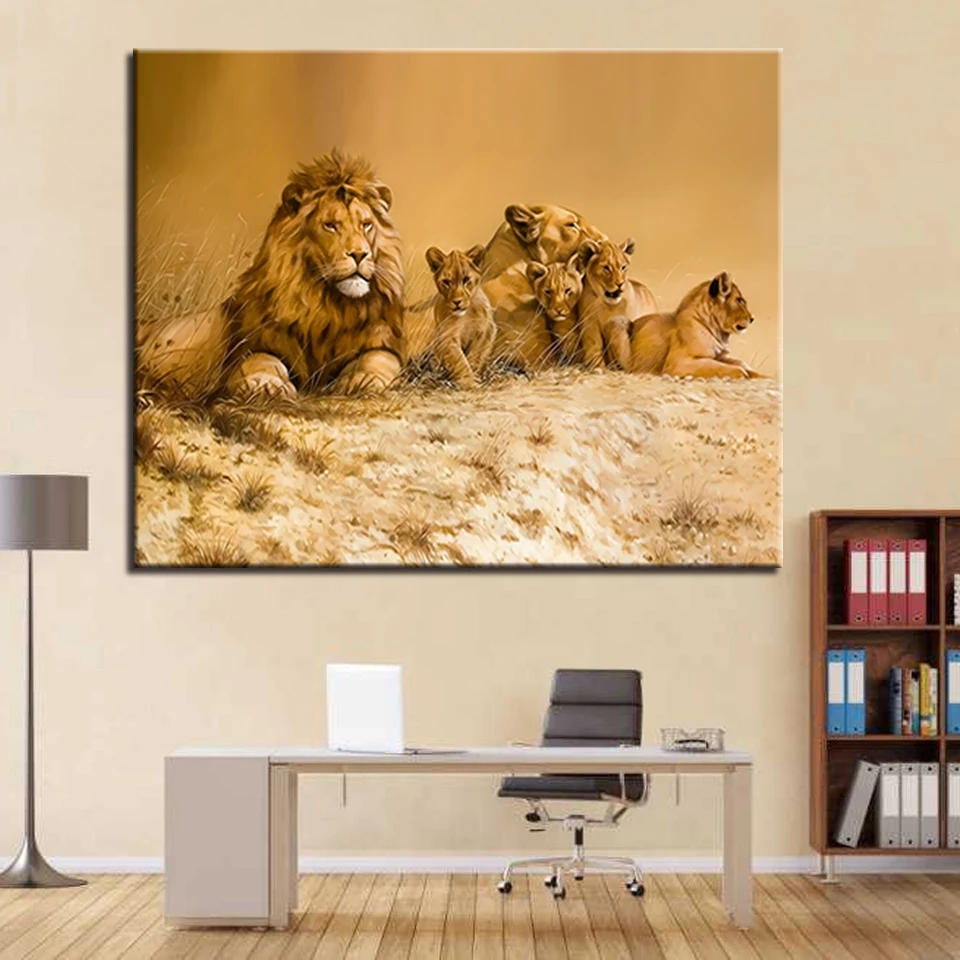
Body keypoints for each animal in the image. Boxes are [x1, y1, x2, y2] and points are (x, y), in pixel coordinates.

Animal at [138, 149, 405, 400]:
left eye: (366, 225)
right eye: (330, 225)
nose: (360, 254)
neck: (328, 307)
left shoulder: (379, 341)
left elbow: (380, 358)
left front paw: (365, 380)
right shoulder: (243, 352)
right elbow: (262, 360)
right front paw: (267, 385)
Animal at [424, 245, 495, 388]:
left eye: (466, 279)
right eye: (446, 282)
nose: (457, 302)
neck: (464, 316)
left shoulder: (486, 330)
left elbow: (475, 357)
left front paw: (474, 380)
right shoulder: (447, 337)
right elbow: (459, 362)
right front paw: (469, 382)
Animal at [577, 237, 657, 370]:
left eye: (623, 267)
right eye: (606, 268)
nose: (620, 284)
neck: (608, 305)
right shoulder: (589, 325)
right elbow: (594, 349)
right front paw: (598, 368)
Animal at [616, 271, 763, 379]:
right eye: (740, 301)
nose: (752, 318)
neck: (719, 332)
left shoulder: (721, 356)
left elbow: (740, 363)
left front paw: (758, 375)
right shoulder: (678, 364)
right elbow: (716, 366)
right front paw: (743, 373)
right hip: (619, 322)